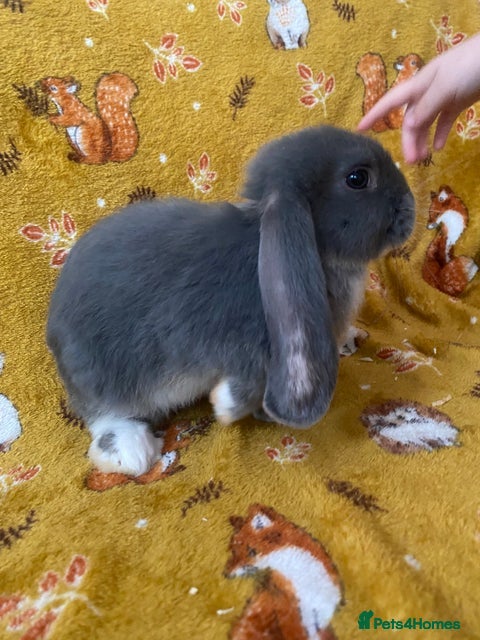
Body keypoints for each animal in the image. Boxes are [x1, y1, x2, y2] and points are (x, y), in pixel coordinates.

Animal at [46, 125, 415, 476]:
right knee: (103, 415)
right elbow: (244, 384)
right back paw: (132, 451)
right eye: (358, 178)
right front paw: (225, 407)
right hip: (107, 375)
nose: (410, 206)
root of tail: (53, 332)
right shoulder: (243, 346)